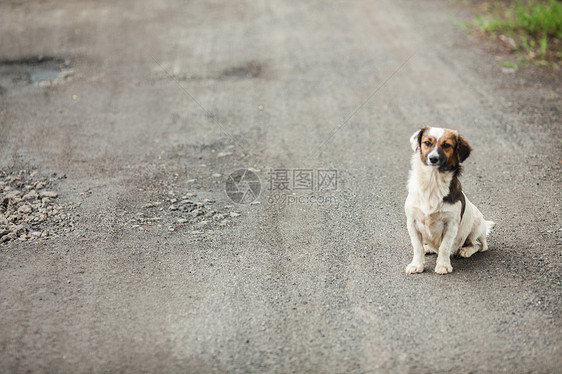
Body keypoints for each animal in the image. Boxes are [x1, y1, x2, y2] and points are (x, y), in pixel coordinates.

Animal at [400, 127, 492, 274]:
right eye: (427, 142)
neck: (433, 181)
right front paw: (417, 265)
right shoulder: (412, 222)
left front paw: (443, 265)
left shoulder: (450, 225)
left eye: (446, 145)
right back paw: (428, 247)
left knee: (480, 245)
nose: (433, 158)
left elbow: (444, 247)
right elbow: (417, 246)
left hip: (476, 228)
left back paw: (465, 250)